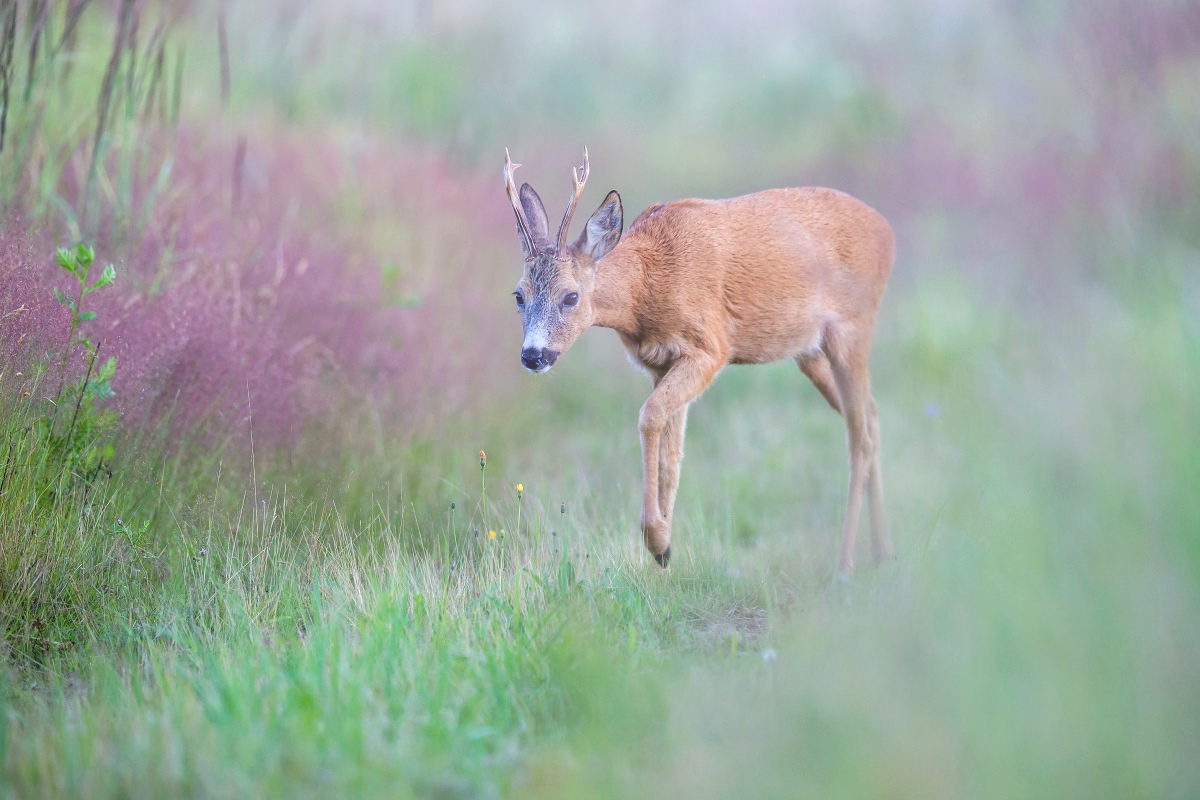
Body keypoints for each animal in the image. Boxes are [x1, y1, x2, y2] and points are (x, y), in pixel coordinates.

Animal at [504, 148, 892, 575]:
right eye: (518, 295)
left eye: (571, 296)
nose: (533, 355)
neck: (646, 288)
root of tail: (887, 230)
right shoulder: (658, 362)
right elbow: (671, 456)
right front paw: (664, 550)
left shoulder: (710, 348)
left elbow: (650, 416)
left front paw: (657, 541)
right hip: (810, 352)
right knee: (872, 417)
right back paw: (882, 552)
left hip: (852, 329)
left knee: (859, 434)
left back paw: (846, 565)